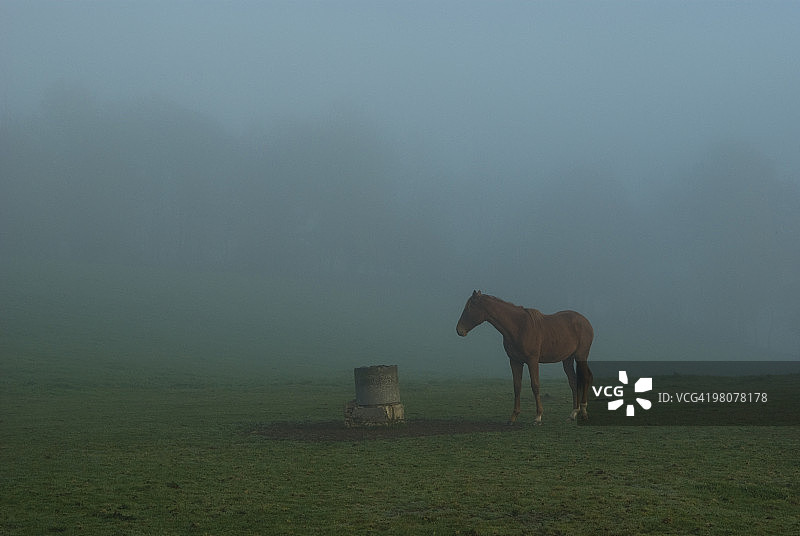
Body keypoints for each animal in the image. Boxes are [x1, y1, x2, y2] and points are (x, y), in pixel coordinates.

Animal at [456, 291, 594, 425]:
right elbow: (517, 386)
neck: (519, 327)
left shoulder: (532, 361)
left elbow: (535, 386)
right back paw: (573, 413)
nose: (459, 330)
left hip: (581, 356)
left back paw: (583, 411)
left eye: (469, 308)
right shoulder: (515, 361)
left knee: (585, 378)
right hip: (567, 359)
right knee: (573, 381)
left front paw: (538, 416)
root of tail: (585, 322)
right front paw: (513, 416)